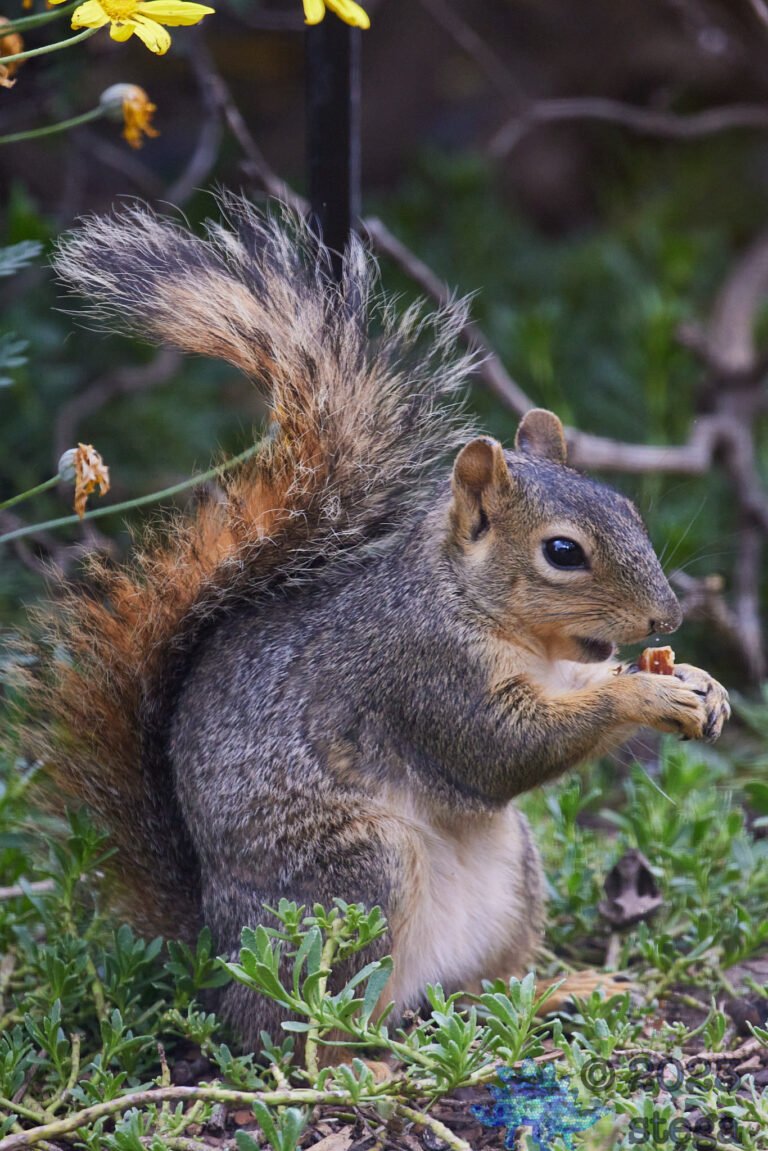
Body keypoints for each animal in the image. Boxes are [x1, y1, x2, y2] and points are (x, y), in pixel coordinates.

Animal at [23, 196, 730, 1052]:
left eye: (630, 509)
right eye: (563, 552)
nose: (669, 613)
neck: (485, 612)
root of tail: (211, 957)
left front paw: (702, 682)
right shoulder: (419, 670)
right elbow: (502, 748)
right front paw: (645, 696)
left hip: (512, 881)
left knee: (467, 994)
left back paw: (555, 990)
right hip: (354, 880)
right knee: (306, 1027)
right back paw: (370, 1055)